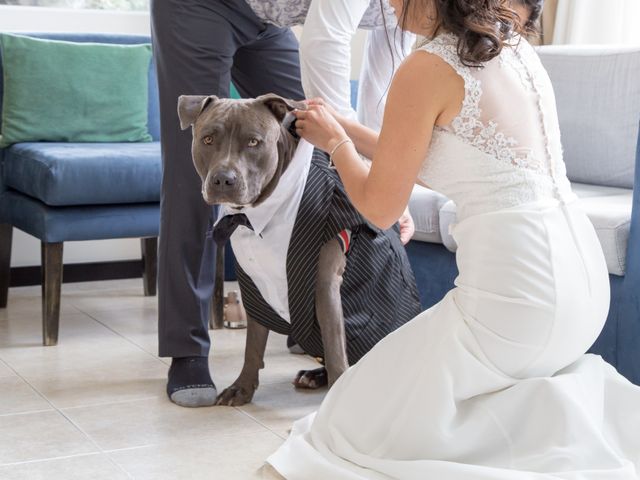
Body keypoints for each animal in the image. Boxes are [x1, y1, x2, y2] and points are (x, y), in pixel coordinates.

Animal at [178, 93, 422, 404]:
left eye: (254, 142)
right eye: (207, 139)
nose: (223, 179)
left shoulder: (324, 282)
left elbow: (334, 346)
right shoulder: (253, 284)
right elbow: (253, 343)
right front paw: (241, 388)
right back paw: (313, 375)